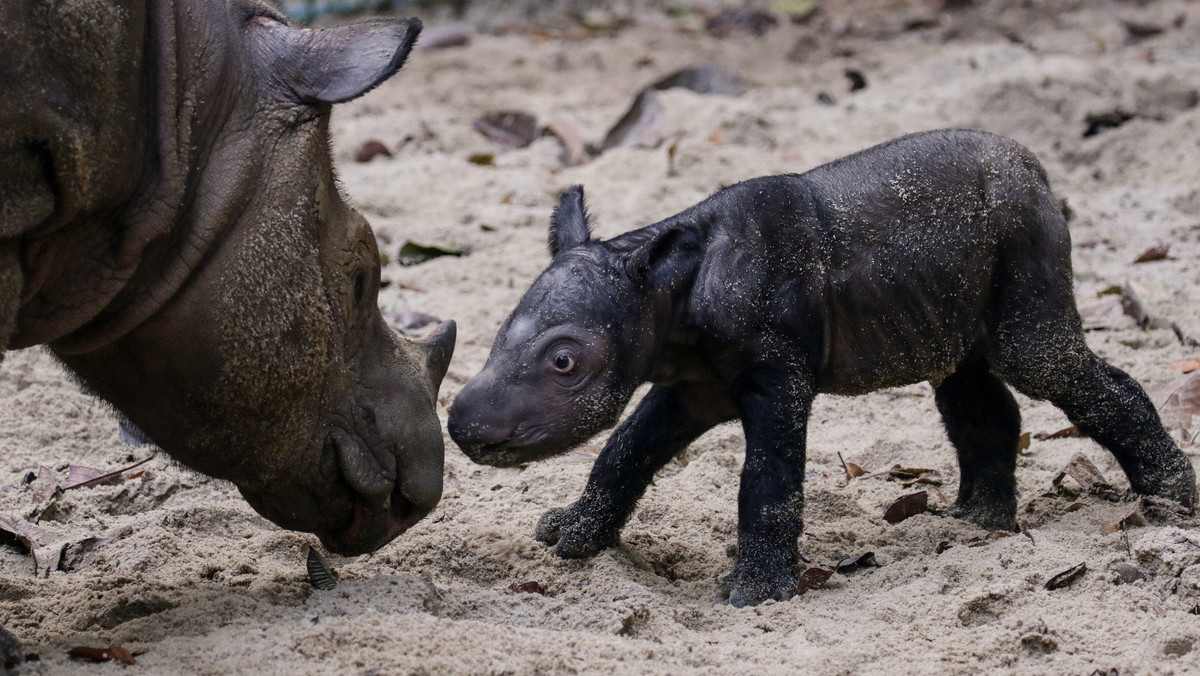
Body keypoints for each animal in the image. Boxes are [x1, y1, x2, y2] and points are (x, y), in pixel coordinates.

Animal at [451, 128, 1200, 607]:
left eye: (565, 362)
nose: (462, 427)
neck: (667, 290)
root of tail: (1038, 169)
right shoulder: (693, 381)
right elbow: (626, 450)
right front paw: (572, 537)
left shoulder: (775, 371)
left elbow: (767, 477)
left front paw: (755, 596)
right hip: (952, 285)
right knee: (966, 384)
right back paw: (975, 523)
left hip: (1025, 234)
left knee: (1042, 360)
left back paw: (1171, 500)